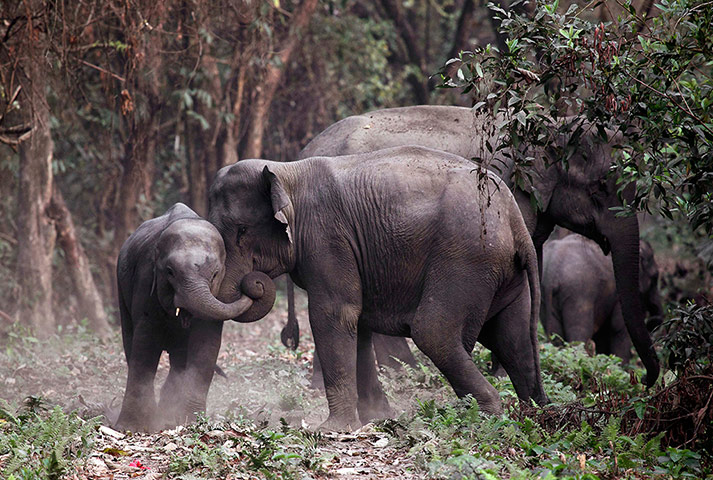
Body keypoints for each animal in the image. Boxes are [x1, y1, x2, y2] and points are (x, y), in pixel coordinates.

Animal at [115, 203, 275, 431]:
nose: (256, 284)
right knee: (131, 341)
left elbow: (206, 346)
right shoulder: (145, 281)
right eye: (170, 272)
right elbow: (145, 345)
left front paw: (192, 422)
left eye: (216, 274)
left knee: (179, 360)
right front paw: (131, 427)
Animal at [206, 145, 548, 430]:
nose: (254, 283)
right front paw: (375, 417)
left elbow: (334, 314)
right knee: (512, 337)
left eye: (241, 231)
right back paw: (534, 414)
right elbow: (358, 322)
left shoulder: (328, 240)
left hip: (467, 257)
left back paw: (487, 415)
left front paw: (331, 430)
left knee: (434, 332)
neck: (286, 172)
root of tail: (516, 220)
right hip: (501, 270)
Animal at [281, 105, 659, 387]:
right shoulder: (505, 193)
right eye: (599, 189)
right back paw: (405, 373)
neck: (552, 126)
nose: (644, 381)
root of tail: (302, 152)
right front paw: (501, 375)